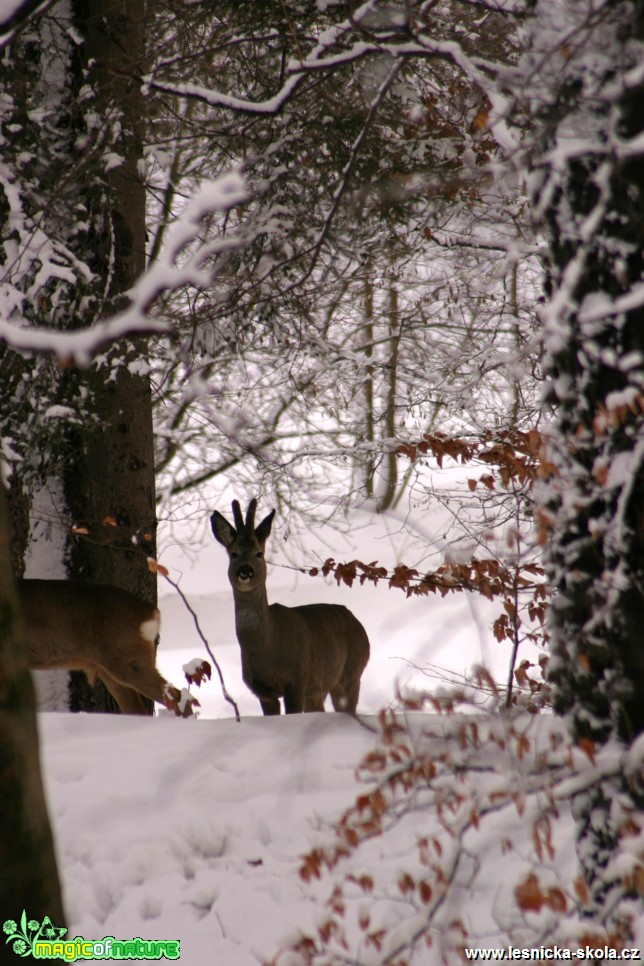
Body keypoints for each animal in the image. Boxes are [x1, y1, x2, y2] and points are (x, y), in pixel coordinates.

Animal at [211, 502, 370, 716]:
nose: (245, 571)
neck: (267, 646)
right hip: (319, 689)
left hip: (351, 674)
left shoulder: (297, 678)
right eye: (233, 553)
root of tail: (359, 625)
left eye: (259, 553)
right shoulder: (262, 691)